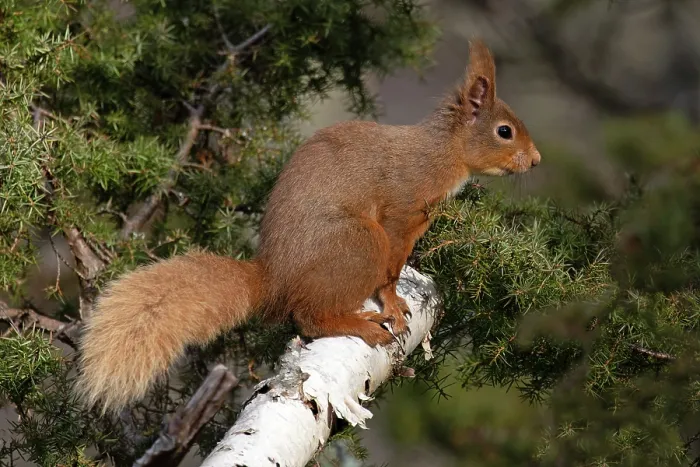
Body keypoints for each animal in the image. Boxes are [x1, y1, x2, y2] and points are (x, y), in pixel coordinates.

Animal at [76, 39, 541, 413]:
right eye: (504, 131)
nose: (536, 161)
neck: (442, 153)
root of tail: (274, 278)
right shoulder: (400, 212)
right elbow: (391, 270)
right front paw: (392, 303)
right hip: (360, 243)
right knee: (308, 318)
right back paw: (360, 325)